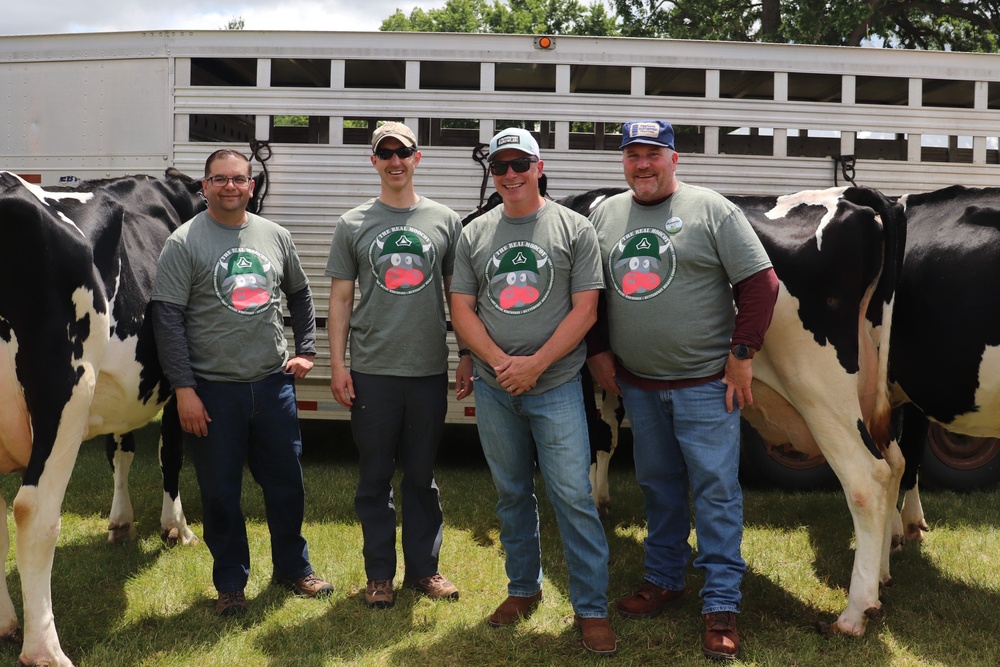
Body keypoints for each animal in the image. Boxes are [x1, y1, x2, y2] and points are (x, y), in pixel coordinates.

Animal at [0, 171, 230, 667]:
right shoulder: (179, 380)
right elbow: (170, 453)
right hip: (66, 391)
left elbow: (120, 450)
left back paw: (6, 624)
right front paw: (177, 527)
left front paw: (121, 521)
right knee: (33, 512)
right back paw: (45, 649)